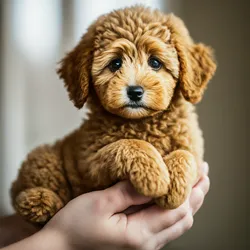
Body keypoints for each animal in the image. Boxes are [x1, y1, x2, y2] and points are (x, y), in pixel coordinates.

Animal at [11, 5, 215, 224]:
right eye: (116, 64)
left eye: (155, 62)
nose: (135, 91)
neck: (141, 123)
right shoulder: (90, 167)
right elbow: (126, 145)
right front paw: (153, 176)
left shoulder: (193, 146)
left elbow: (186, 155)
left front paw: (174, 187)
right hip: (45, 157)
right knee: (24, 188)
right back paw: (41, 201)